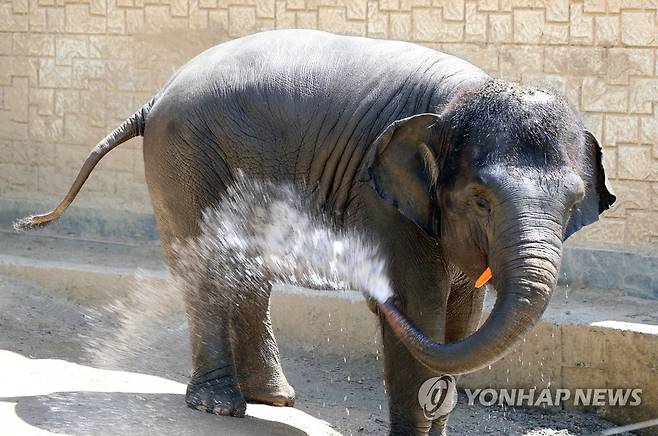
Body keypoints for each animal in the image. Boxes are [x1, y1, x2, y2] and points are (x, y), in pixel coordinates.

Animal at [16, 29, 616, 434]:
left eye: (575, 203)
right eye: (480, 199)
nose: (368, 290)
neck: (460, 97)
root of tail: (154, 98)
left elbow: (461, 319)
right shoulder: (380, 200)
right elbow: (419, 306)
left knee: (245, 272)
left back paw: (275, 398)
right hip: (184, 155)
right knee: (208, 267)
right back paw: (219, 405)